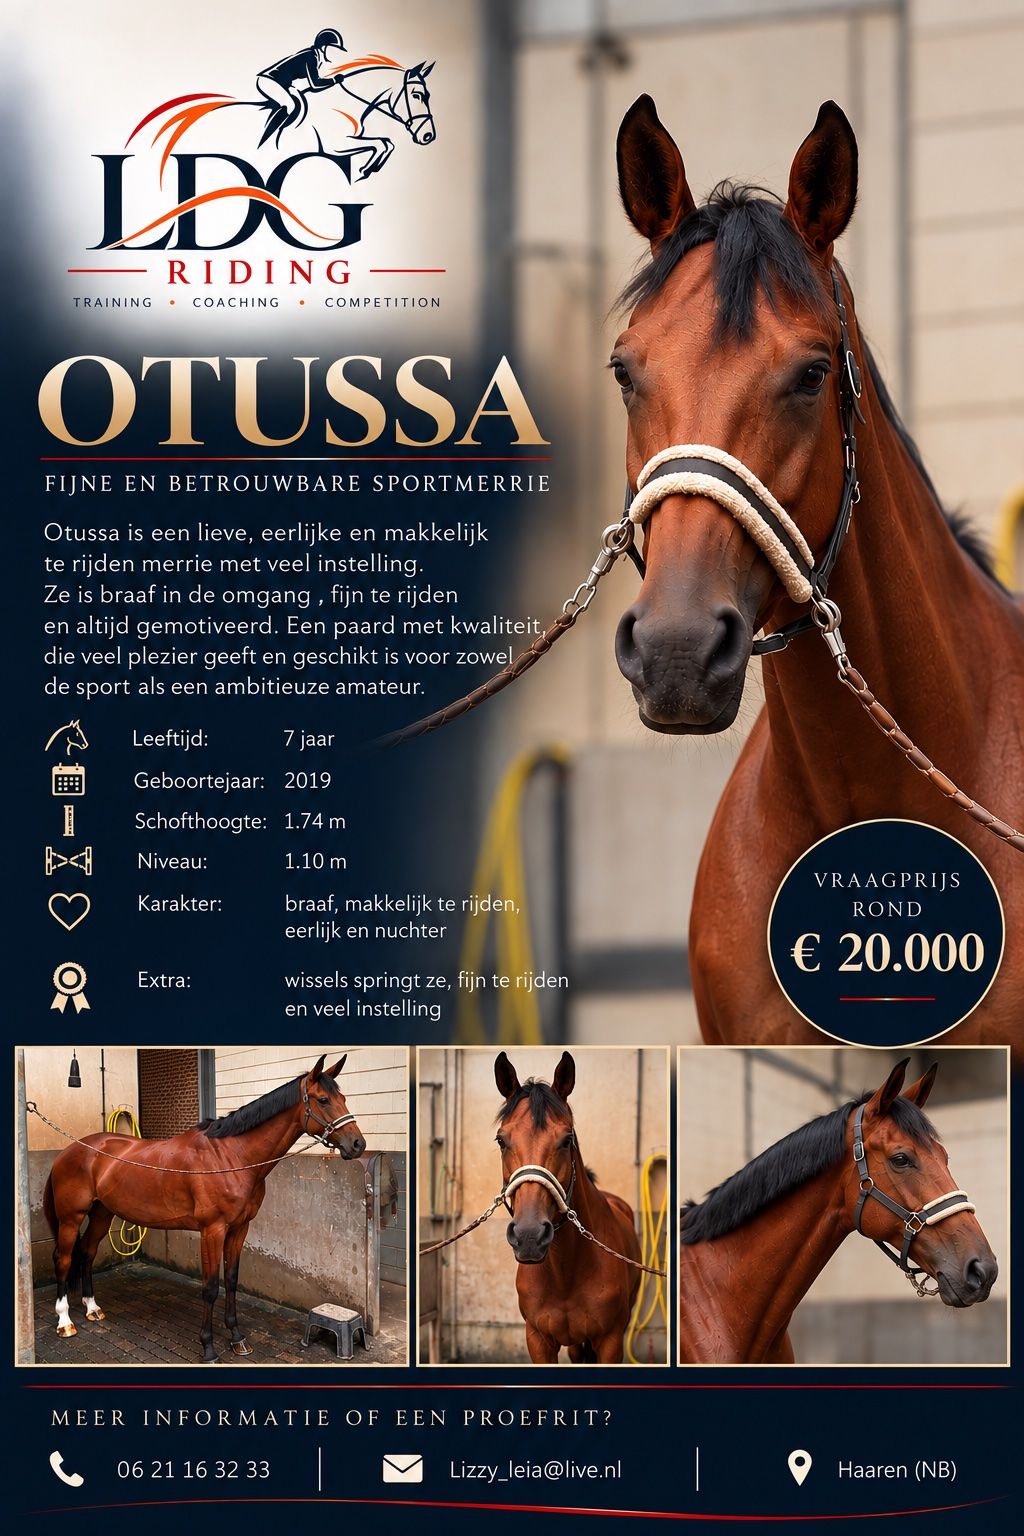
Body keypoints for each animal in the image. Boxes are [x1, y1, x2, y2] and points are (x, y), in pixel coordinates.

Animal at [42, 1055, 365, 1362]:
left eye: (344, 1097)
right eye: (323, 1100)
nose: (357, 1144)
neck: (231, 1157)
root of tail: (71, 1150)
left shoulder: (239, 1228)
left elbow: (231, 1281)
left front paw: (237, 1338)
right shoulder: (212, 1230)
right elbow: (210, 1288)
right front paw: (208, 1348)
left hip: (102, 1213)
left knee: (87, 1252)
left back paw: (92, 1308)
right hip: (71, 1218)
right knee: (64, 1259)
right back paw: (65, 1322)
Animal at [493, 1051, 641, 1363]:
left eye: (567, 1138)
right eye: (501, 1140)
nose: (529, 1236)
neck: (565, 1273)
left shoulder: (610, 1342)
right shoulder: (538, 1340)